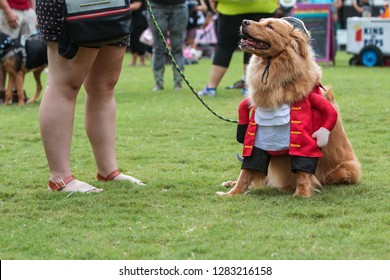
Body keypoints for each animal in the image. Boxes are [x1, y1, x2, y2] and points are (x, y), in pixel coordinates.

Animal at [218, 17, 362, 197]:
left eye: (270, 26)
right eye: (260, 21)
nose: (244, 21)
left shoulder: (304, 140)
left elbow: (302, 170)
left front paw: (302, 194)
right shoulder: (257, 136)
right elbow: (246, 171)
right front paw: (233, 193)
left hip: (343, 170)